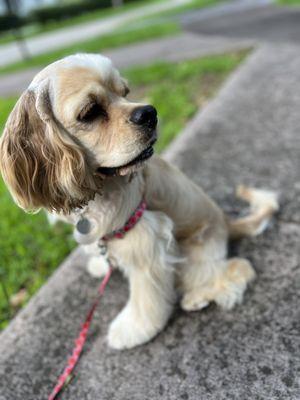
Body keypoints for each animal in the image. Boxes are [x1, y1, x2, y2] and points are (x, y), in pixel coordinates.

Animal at [0, 54, 278, 350]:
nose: (149, 113)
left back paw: (198, 296)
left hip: (200, 254)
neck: (102, 184)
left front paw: (131, 330)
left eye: (125, 92)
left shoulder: (144, 236)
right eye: (90, 112)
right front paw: (102, 264)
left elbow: (146, 296)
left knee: (232, 271)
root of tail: (226, 221)